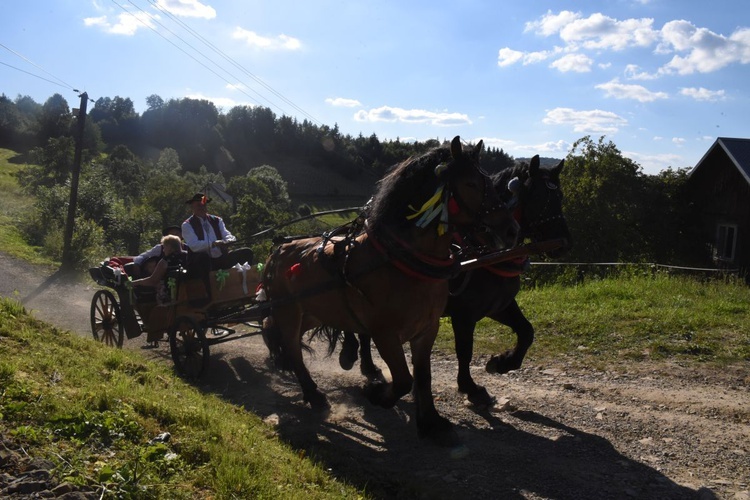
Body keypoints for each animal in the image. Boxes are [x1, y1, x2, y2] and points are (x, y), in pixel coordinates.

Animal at [262, 135, 520, 444]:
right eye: (470, 184)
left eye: (490, 182)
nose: (511, 230)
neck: (401, 262)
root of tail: (277, 251)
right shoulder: (385, 334)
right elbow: (404, 380)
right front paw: (375, 393)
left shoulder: (427, 330)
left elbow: (423, 377)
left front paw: (430, 422)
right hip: (288, 313)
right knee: (292, 350)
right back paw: (314, 395)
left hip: (311, 314)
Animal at [338, 155, 572, 406]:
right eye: (538, 196)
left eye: (560, 196)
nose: (565, 242)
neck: (485, 253)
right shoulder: (464, 315)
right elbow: (465, 351)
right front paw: (470, 387)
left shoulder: (499, 306)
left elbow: (526, 331)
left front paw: (503, 362)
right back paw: (361, 361)